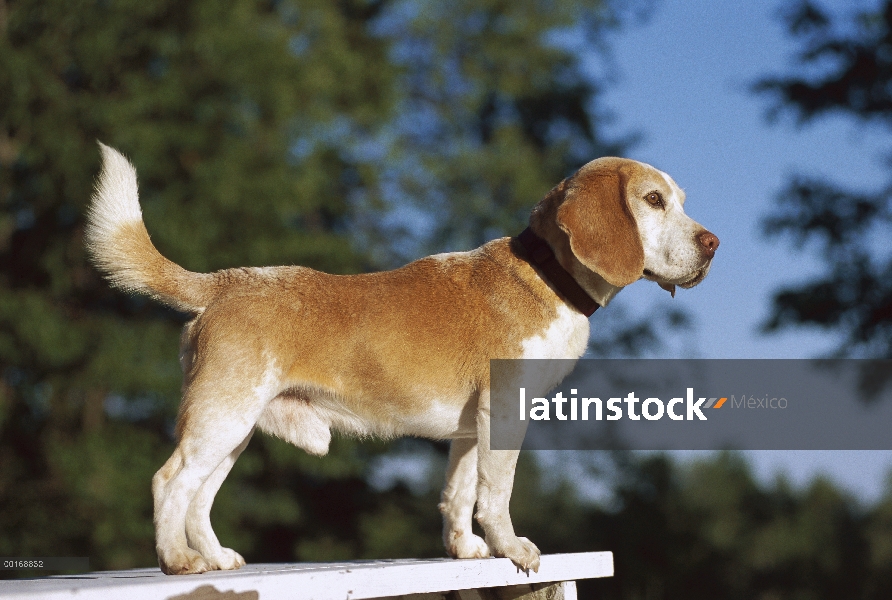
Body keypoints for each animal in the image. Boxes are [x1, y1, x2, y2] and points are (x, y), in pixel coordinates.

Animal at [85, 144, 716, 576]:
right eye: (653, 201)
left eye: (682, 201)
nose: (713, 244)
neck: (548, 276)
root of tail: (224, 283)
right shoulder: (504, 415)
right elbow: (496, 493)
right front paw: (512, 548)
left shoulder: (472, 428)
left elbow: (458, 493)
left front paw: (465, 549)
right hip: (220, 419)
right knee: (168, 482)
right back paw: (177, 560)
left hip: (232, 429)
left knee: (198, 498)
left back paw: (214, 557)